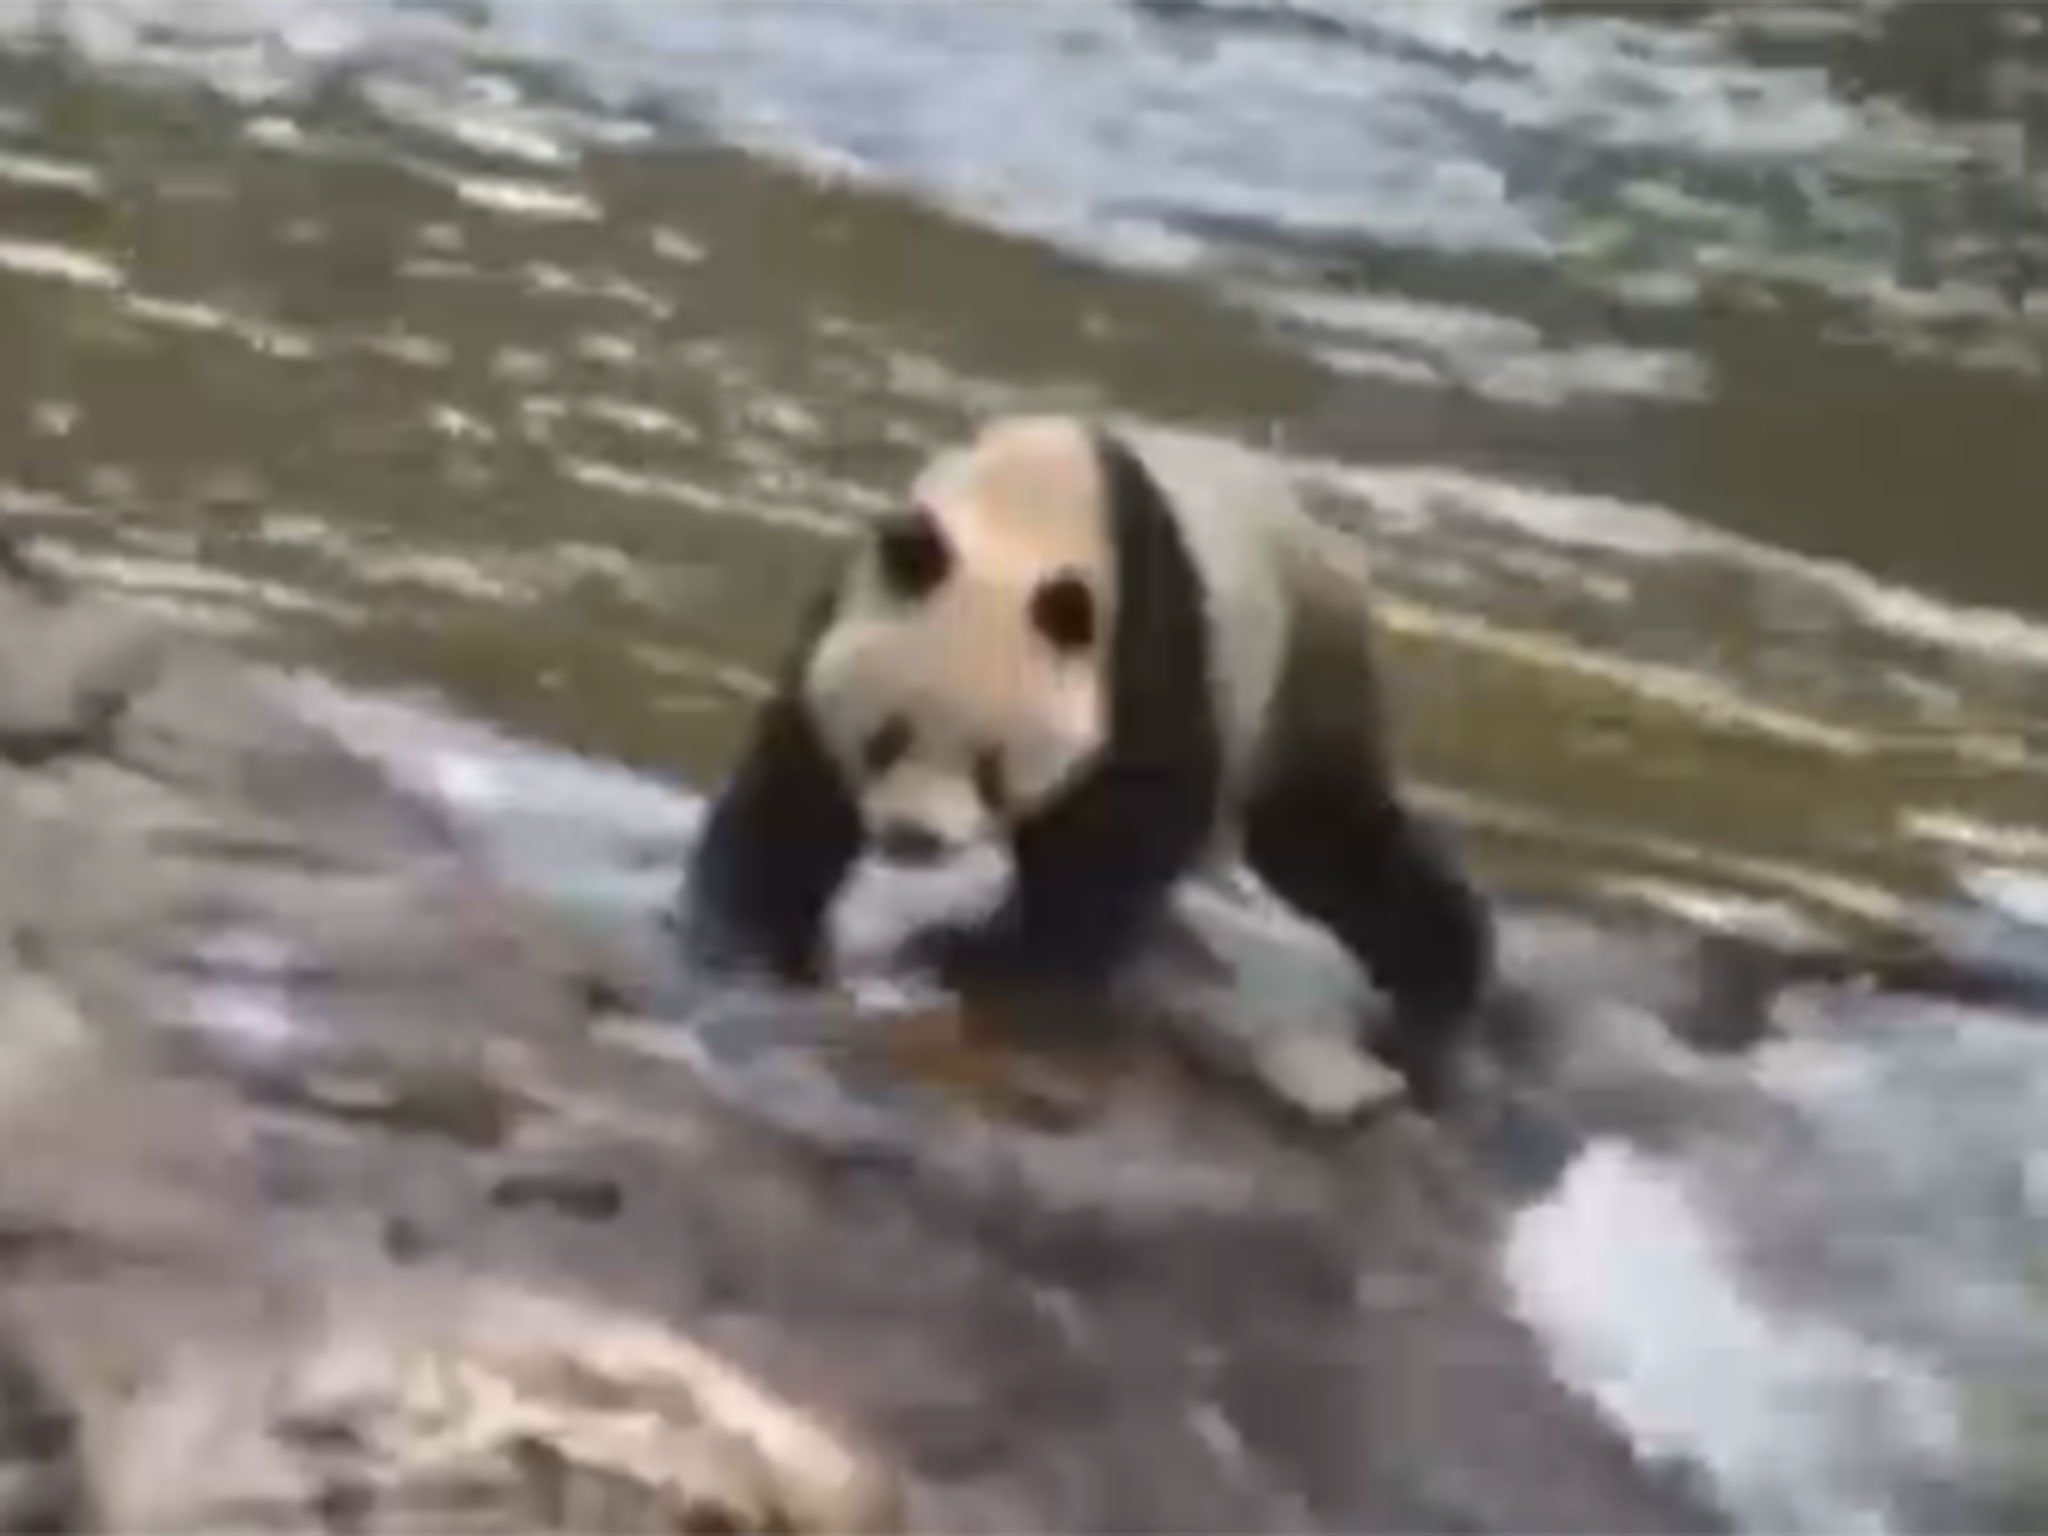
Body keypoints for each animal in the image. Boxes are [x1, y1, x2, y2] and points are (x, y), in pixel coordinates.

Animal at [679, 415, 1499, 1097]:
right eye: (888, 737)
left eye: (991, 763)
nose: (914, 839)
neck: (1030, 510)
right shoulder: (851, 603)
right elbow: (796, 784)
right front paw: (750, 942)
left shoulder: (1148, 639)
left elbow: (1126, 822)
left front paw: (1001, 960)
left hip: (1297, 664)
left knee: (1329, 834)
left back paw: (1443, 981)